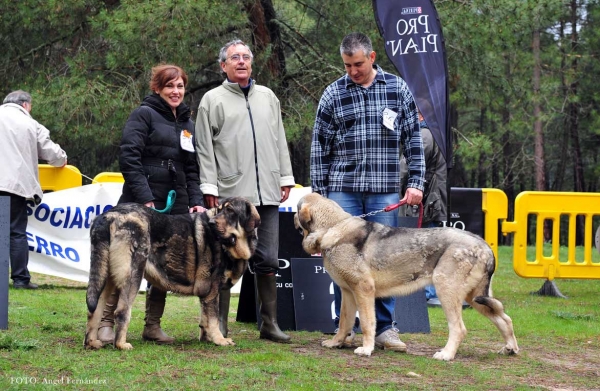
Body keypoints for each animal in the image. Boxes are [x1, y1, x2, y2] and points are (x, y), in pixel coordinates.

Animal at [83, 198, 258, 350]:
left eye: (230, 211)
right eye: (220, 210)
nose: (212, 223)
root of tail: (108, 216)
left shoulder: (207, 294)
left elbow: (205, 319)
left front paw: (206, 338)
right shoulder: (212, 291)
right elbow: (213, 319)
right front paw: (220, 340)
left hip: (105, 276)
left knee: (94, 309)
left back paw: (92, 342)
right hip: (133, 273)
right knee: (121, 311)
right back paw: (121, 344)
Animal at [292, 193, 516, 362]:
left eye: (295, 209)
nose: (292, 217)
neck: (332, 227)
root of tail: (484, 245)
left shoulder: (363, 289)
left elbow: (367, 323)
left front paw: (366, 349)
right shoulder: (347, 293)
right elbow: (344, 323)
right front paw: (336, 343)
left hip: (447, 291)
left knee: (459, 328)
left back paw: (446, 354)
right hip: (476, 298)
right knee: (504, 318)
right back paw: (510, 349)